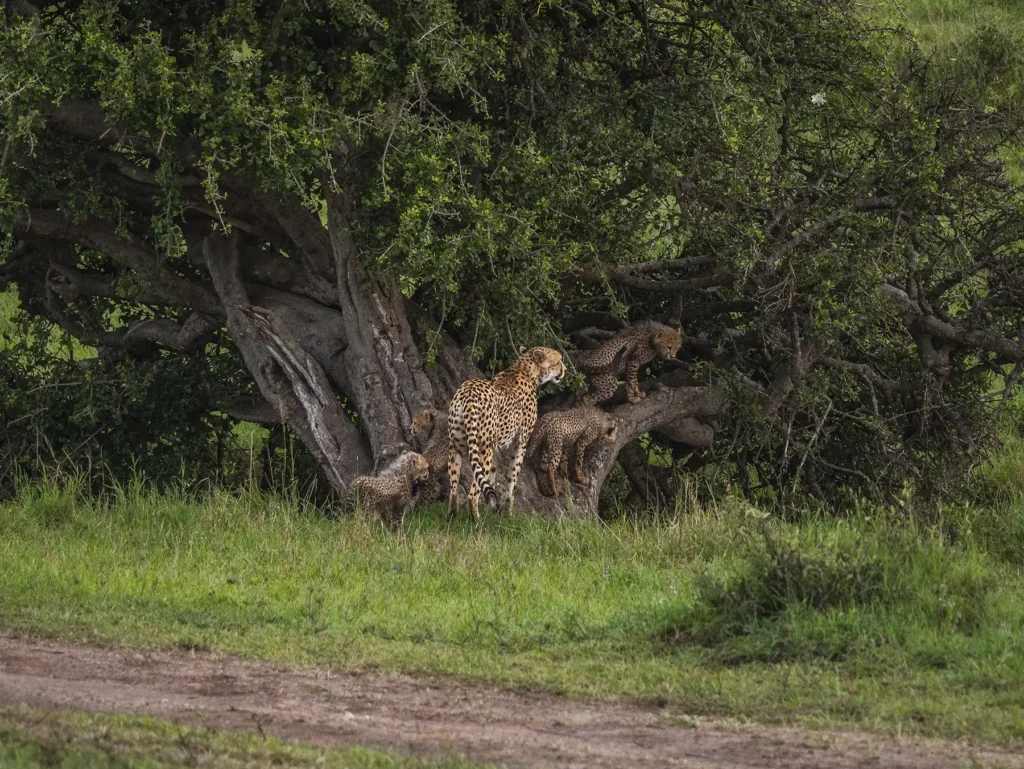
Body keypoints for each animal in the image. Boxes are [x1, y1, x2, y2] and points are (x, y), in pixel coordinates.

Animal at [448, 346, 566, 518]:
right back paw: (476, 519)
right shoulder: (520, 444)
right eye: (558, 361)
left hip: (456, 447)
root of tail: (468, 392)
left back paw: (452, 517)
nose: (565, 370)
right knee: (472, 494)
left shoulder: (495, 449)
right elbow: (512, 480)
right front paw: (508, 512)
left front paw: (493, 510)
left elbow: (492, 477)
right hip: (483, 450)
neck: (525, 369)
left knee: (454, 490)